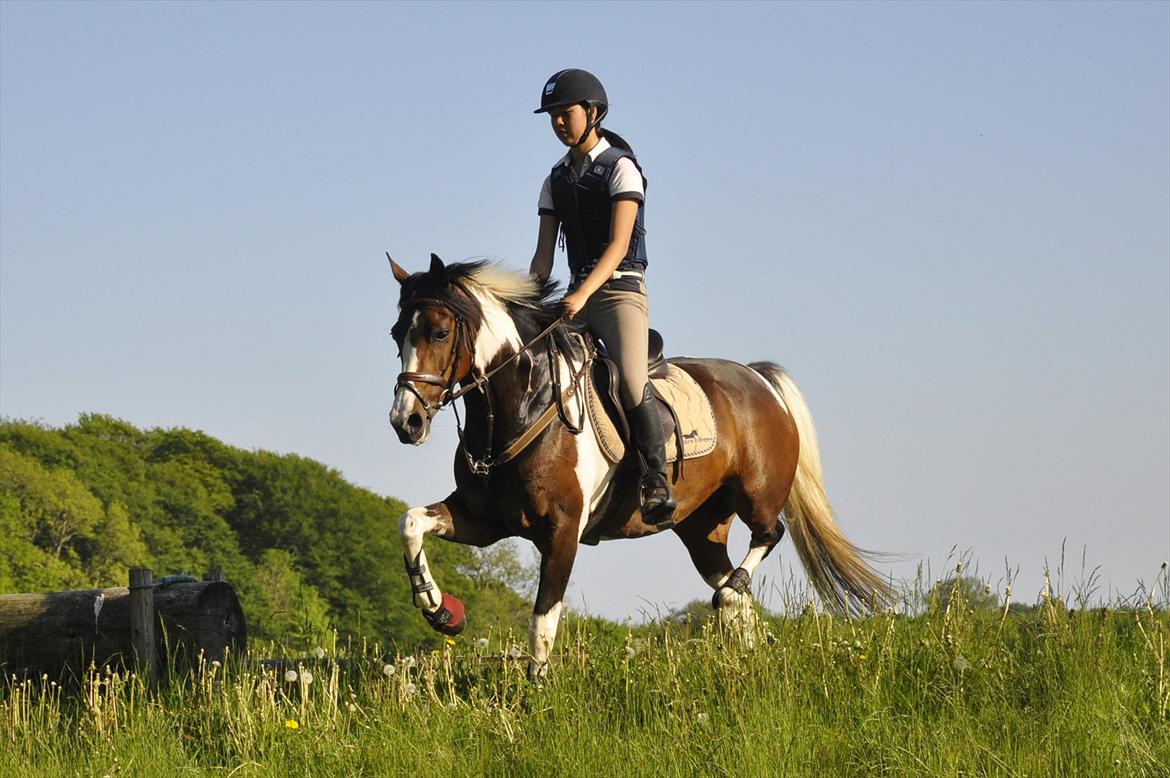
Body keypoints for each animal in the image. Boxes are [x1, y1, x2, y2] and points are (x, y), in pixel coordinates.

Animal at [386, 253, 884, 673]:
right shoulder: (484, 521)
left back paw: (734, 592)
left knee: (767, 537)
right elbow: (411, 522)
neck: (521, 406)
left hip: (756, 494)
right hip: (701, 527)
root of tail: (758, 377)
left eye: (439, 333)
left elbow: (542, 622)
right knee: (737, 601)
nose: (405, 422)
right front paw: (439, 609)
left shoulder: (561, 532)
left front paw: (536, 697)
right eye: (396, 334)